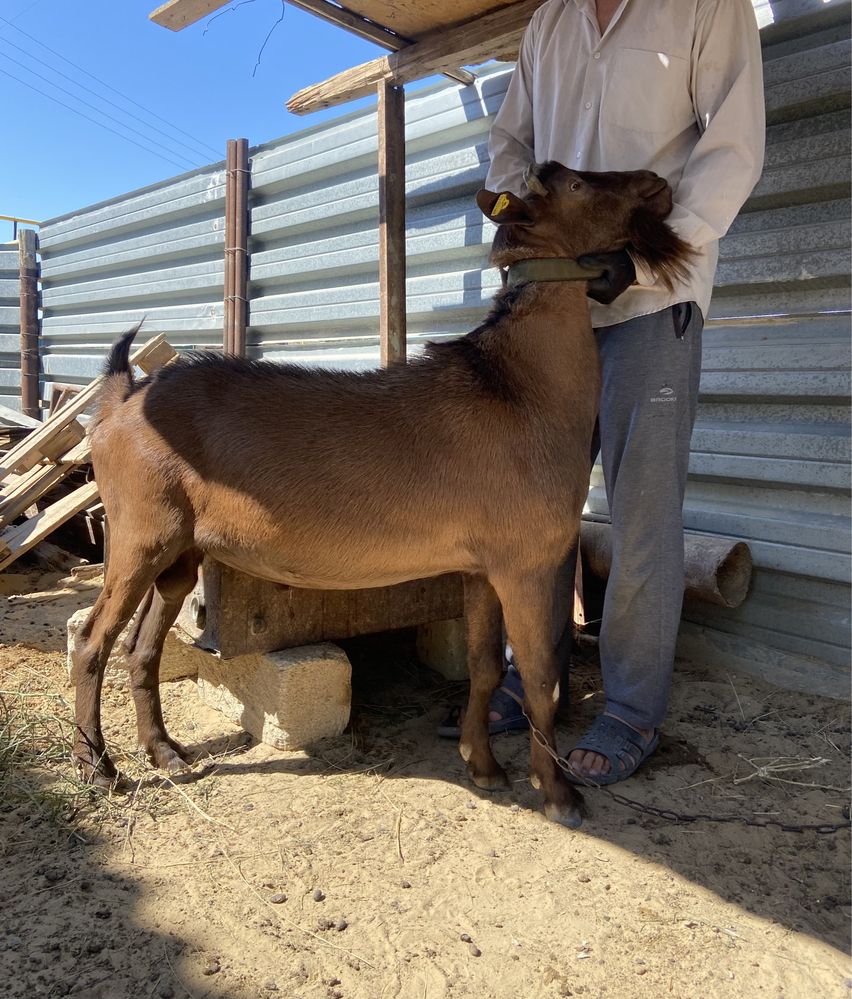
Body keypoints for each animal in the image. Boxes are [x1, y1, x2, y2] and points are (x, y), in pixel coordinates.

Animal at [75, 164, 692, 832]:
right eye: (576, 183)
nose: (655, 181)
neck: (521, 386)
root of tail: (122, 400)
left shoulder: (479, 569)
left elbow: (483, 665)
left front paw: (482, 765)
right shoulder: (525, 562)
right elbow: (540, 675)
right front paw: (557, 793)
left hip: (180, 551)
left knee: (141, 647)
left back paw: (165, 751)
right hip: (139, 535)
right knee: (92, 641)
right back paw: (100, 768)